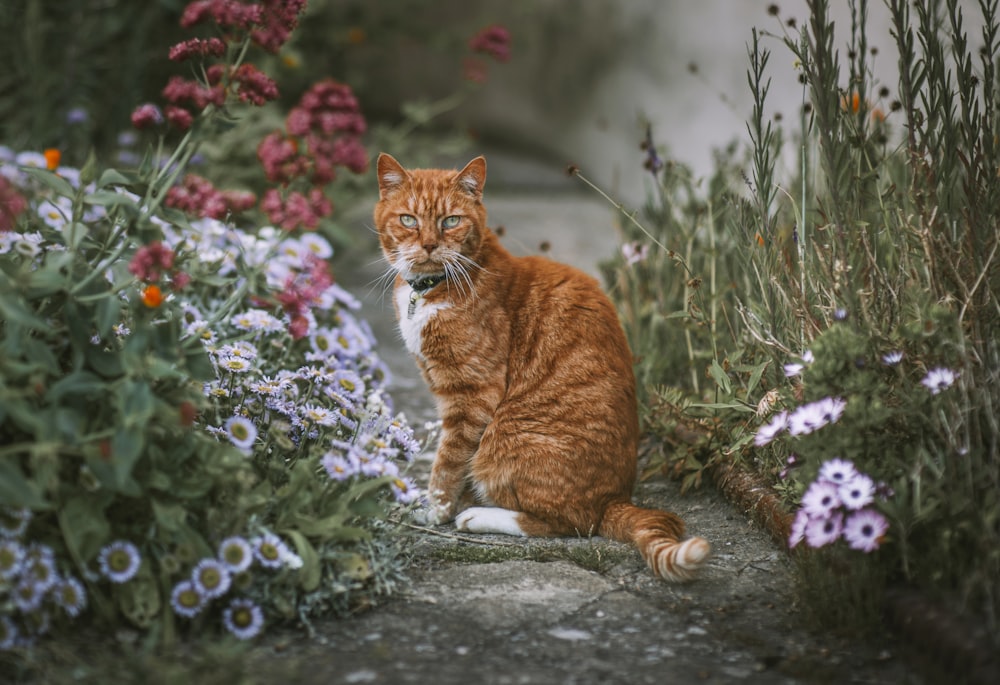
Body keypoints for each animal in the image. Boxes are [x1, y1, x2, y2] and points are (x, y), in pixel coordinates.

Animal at [376, 154, 712, 576]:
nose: (429, 244)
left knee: (571, 523)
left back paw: (479, 516)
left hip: (506, 438)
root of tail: (616, 499)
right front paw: (452, 501)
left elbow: (448, 460)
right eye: (408, 219)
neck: (430, 290)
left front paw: (435, 510)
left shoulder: (473, 394)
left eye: (451, 221)